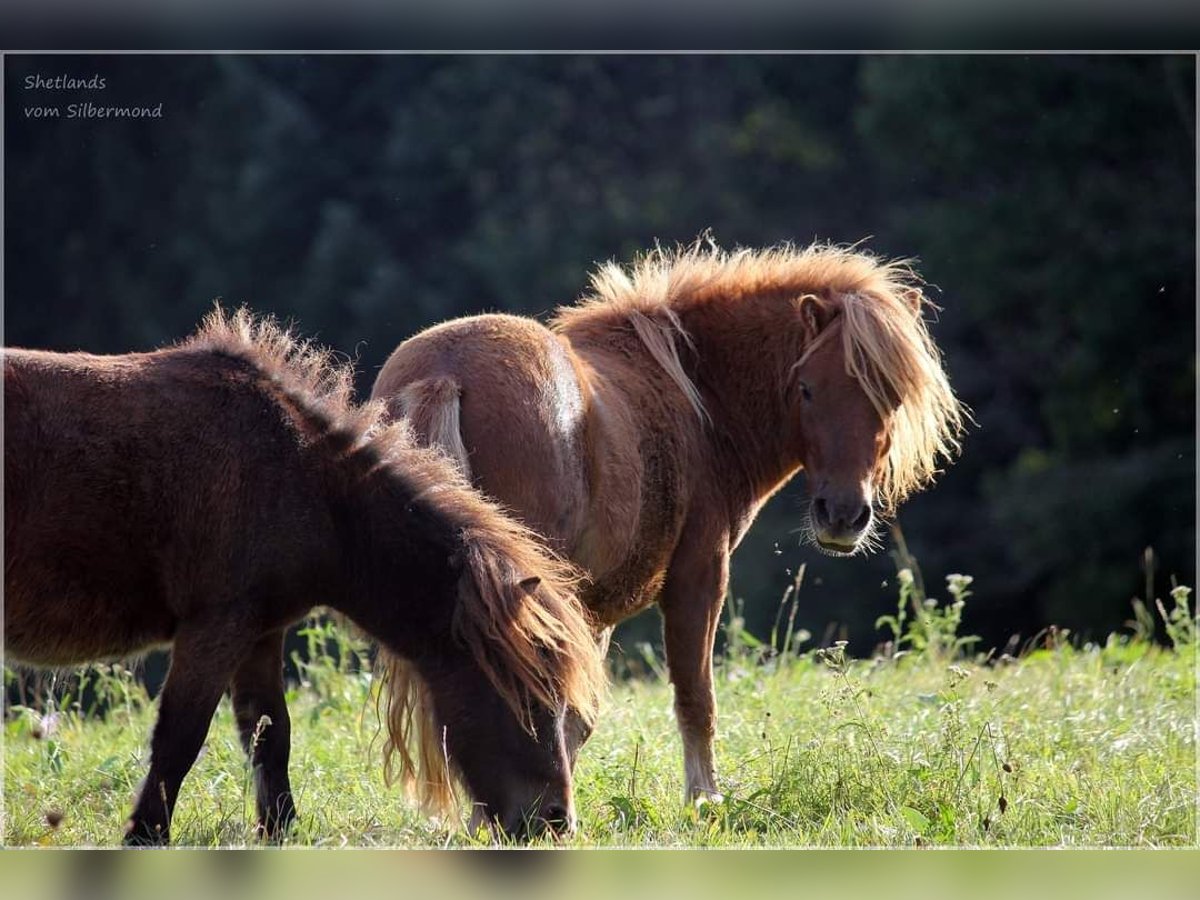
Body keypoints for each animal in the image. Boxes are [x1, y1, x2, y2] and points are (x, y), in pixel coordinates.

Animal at [4, 309, 604, 844]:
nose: (555, 821)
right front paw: (147, 834)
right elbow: (180, 738)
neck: (302, 477)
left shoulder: (259, 634)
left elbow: (271, 734)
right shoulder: (215, 629)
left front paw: (280, 829)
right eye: (530, 698)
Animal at [372, 240, 964, 801]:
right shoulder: (698, 576)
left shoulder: (593, 609)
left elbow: (578, 718)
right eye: (807, 389)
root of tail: (445, 373)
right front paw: (704, 801)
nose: (843, 515)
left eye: (890, 395)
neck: (699, 400)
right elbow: (694, 698)